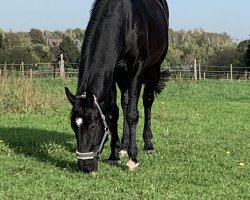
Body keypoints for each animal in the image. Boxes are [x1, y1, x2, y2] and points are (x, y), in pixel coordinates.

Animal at [65, 0, 169, 172]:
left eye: (93, 125)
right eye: (74, 126)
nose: (85, 166)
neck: (125, 21)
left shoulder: (137, 69)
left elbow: (132, 114)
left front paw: (133, 159)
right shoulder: (113, 73)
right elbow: (113, 112)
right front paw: (114, 155)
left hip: (154, 69)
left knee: (147, 101)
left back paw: (148, 144)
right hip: (122, 76)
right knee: (125, 101)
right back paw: (124, 147)